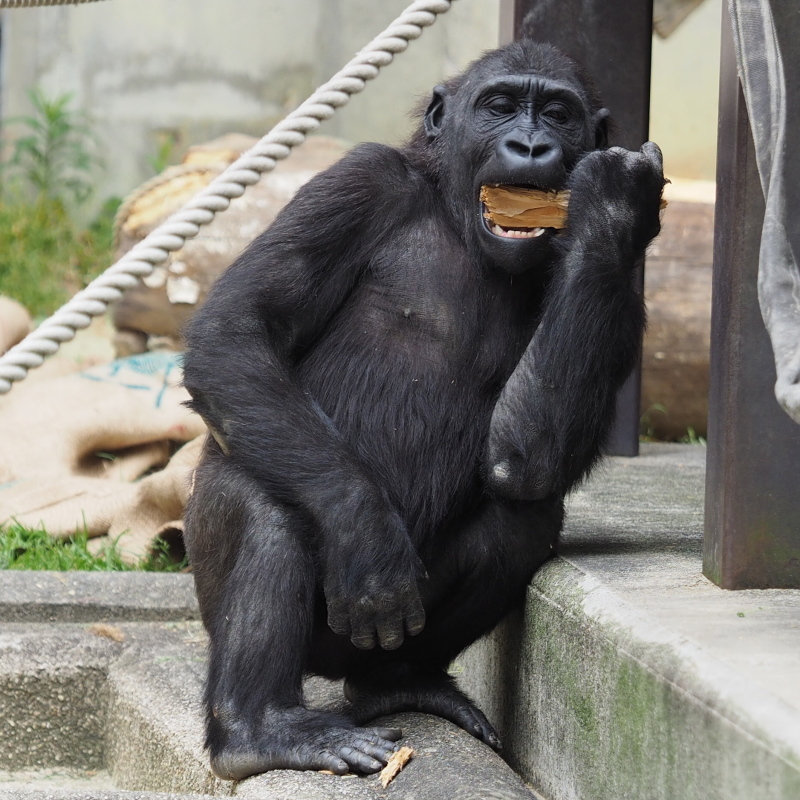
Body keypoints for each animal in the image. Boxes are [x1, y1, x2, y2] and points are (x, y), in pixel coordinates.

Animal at [181, 37, 664, 780]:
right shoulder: (356, 185)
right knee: (268, 502)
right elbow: (235, 330)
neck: (456, 218)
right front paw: (368, 537)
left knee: (523, 517)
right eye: (500, 105)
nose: (531, 144)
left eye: (558, 112)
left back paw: (397, 682)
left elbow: (527, 459)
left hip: (370, 646)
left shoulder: (624, 297)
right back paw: (258, 730)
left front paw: (613, 200)